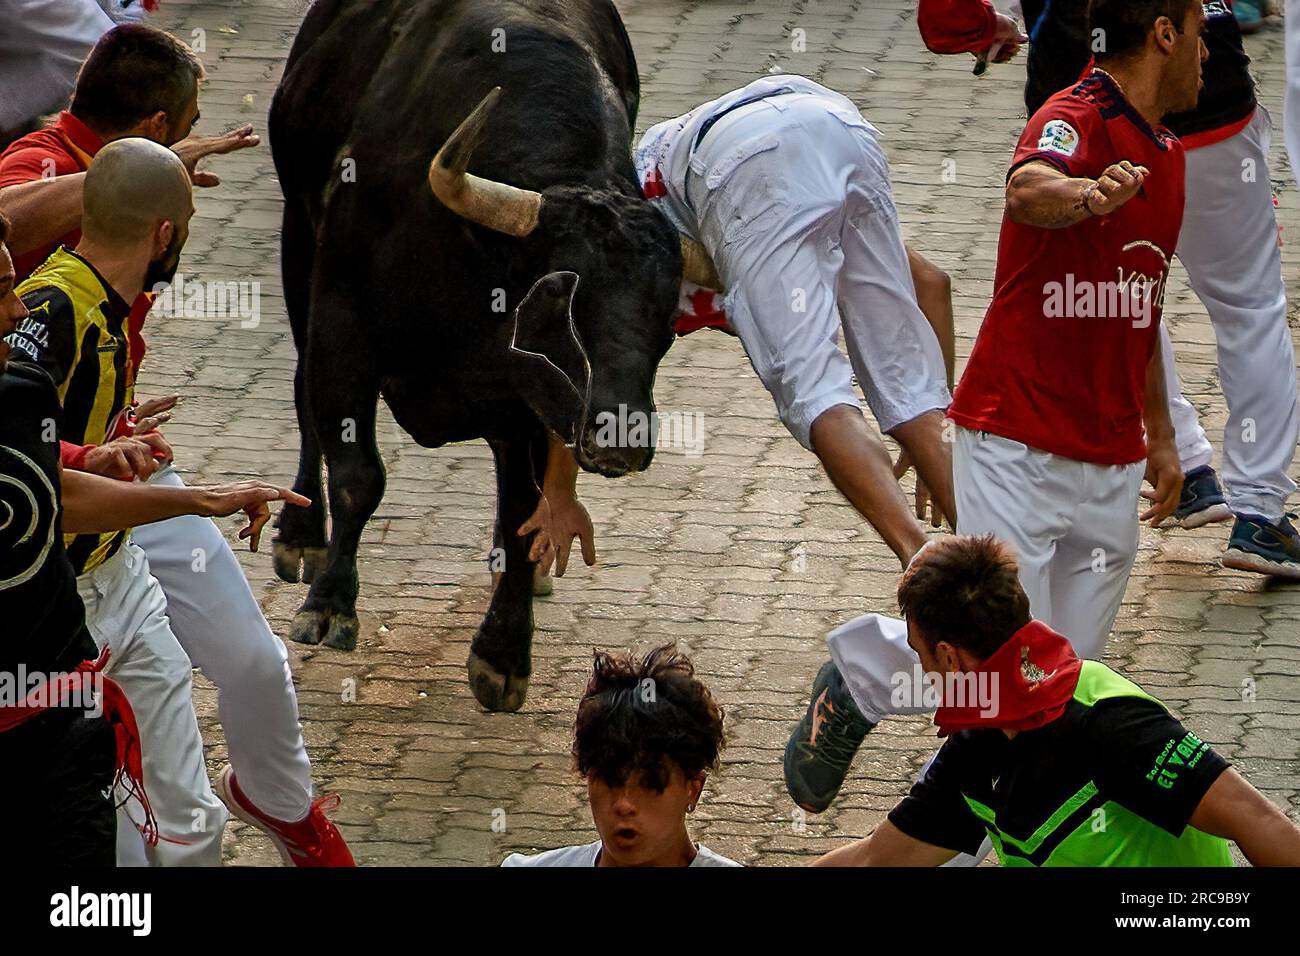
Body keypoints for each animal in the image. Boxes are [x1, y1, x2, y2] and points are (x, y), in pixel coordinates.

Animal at [267, 0, 707, 707]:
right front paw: (330, 603)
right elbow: (359, 473)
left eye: (667, 321)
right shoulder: (342, 325)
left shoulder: (529, 404)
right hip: (296, 244)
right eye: (561, 301)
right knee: (303, 395)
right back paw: (302, 534)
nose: (621, 437)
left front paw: (503, 652)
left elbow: (524, 508)